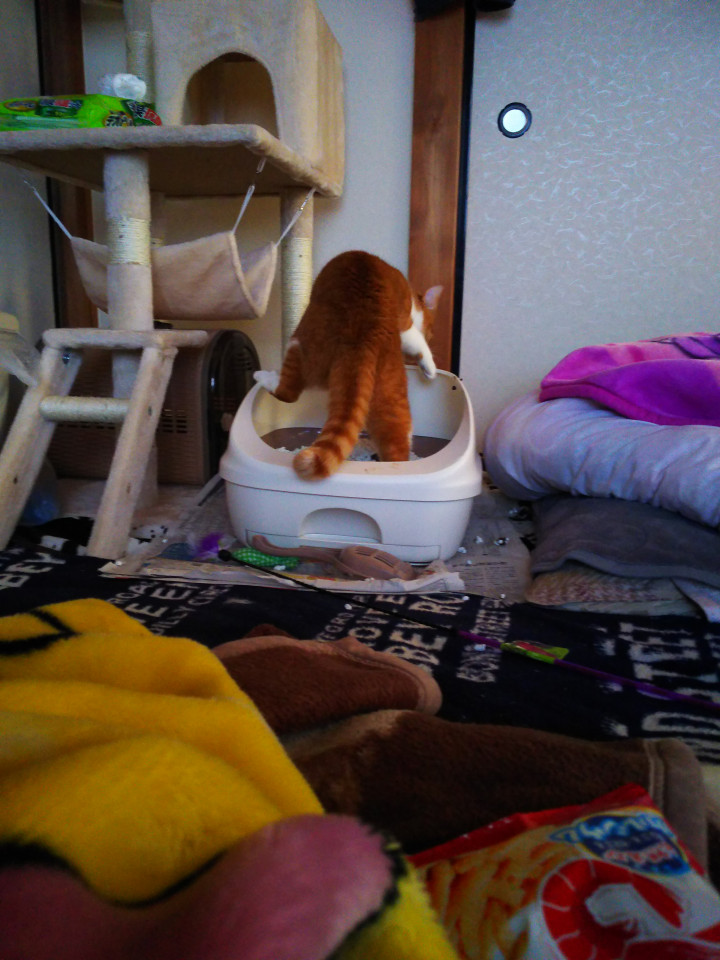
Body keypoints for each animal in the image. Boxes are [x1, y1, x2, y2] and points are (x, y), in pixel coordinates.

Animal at [254, 250, 442, 480]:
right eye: (431, 330)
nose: (432, 337)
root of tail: (362, 336)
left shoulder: (406, 327)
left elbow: (417, 343)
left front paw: (429, 367)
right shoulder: (405, 324)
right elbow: (418, 342)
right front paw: (429, 367)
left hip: (300, 342)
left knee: (288, 393)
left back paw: (263, 376)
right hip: (391, 394)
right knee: (397, 446)